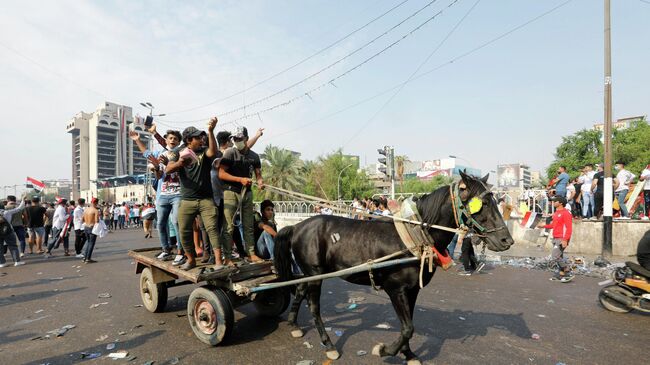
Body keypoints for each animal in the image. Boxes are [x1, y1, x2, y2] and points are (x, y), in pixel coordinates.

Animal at [270, 171, 512, 364]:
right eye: (483, 204)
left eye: (495, 201)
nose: (506, 240)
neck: (415, 236)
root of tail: (298, 226)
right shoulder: (395, 289)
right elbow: (407, 328)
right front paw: (385, 350)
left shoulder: (412, 290)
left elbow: (409, 324)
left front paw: (408, 354)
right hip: (315, 274)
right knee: (314, 307)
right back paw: (328, 344)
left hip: (311, 273)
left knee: (300, 290)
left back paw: (294, 324)